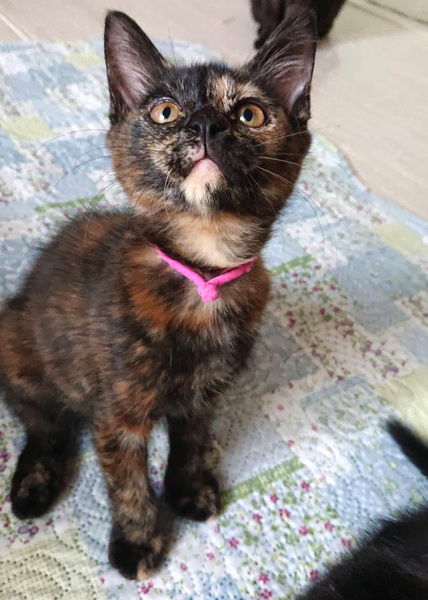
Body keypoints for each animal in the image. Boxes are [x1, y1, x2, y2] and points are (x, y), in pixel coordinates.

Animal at [0, 6, 317, 581]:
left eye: (250, 115)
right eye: (166, 111)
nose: (206, 125)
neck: (202, 274)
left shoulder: (207, 394)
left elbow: (192, 440)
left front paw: (189, 490)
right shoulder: (118, 416)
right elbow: (126, 483)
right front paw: (137, 541)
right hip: (17, 347)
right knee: (43, 422)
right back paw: (35, 484)